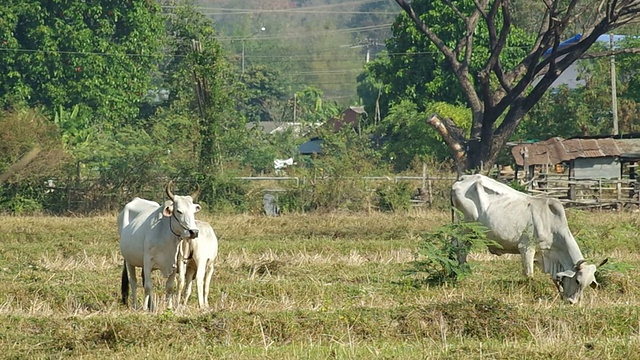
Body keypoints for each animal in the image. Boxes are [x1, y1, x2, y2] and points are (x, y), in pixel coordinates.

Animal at [117, 181, 201, 310]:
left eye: (193, 212)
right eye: (179, 211)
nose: (194, 232)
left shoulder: (174, 264)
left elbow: (169, 287)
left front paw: (169, 307)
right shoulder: (147, 261)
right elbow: (148, 287)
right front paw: (144, 309)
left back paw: (152, 307)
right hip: (129, 260)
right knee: (133, 282)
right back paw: (136, 305)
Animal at [450, 174, 604, 304]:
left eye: (588, 284)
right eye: (577, 281)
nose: (572, 302)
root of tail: (462, 178)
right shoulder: (526, 248)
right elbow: (529, 274)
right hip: (465, 228)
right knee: (461, 250)